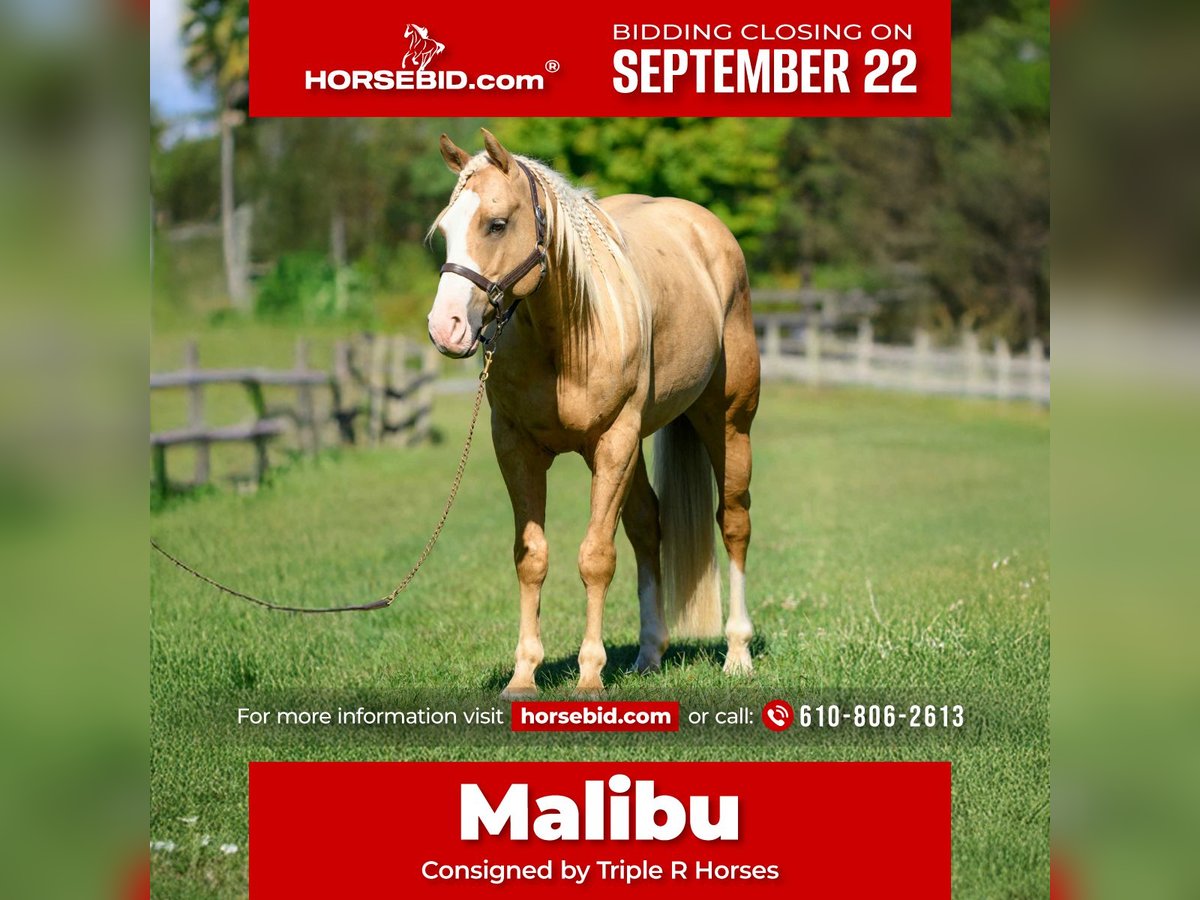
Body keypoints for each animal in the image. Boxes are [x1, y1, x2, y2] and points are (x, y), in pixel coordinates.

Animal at [426, 129, 760, 696]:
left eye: (496, 224)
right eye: (445, 230)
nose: (444, 327)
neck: (566, 337)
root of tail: (705, 228)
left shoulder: (613, 442)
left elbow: (596, 558)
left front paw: (589, 675)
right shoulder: (516, 447)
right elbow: (532, 557)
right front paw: (524, 674)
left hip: (728, 424)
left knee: (733, 523)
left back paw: (737, 652)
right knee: (648, 525)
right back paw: (649, 653)